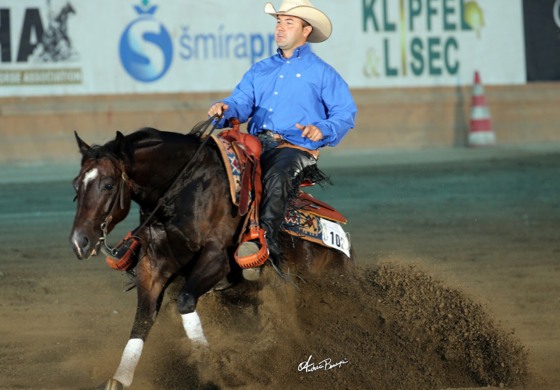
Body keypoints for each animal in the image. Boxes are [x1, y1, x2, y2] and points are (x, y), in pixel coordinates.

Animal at [69, 125, 354, 390]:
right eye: (76, 185)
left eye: (108, 184)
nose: (79, 242)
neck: (184, 190)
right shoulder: (152, 266)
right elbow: (143, 318)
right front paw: (119, 378)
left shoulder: (217, 259)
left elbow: (185, 302)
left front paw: (211, 368)